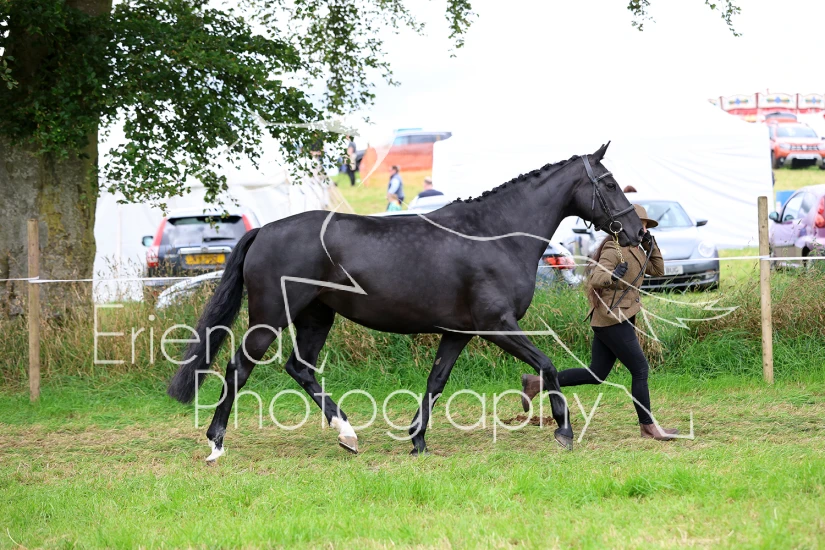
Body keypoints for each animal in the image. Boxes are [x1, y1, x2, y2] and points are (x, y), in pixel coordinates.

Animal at [167, 142, 644, 460]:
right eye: (608, 183)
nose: (637, 231)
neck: (494, 235)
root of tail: (264, 230)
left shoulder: (459, 332)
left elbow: (436, 381)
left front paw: (417, 439)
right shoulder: (496, 325)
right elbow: (546, 365)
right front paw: (564, 431)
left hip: (316, 317)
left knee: (299, 368)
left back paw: (348, 434)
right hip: (270, 317)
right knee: (239, 368)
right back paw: (216, 442)